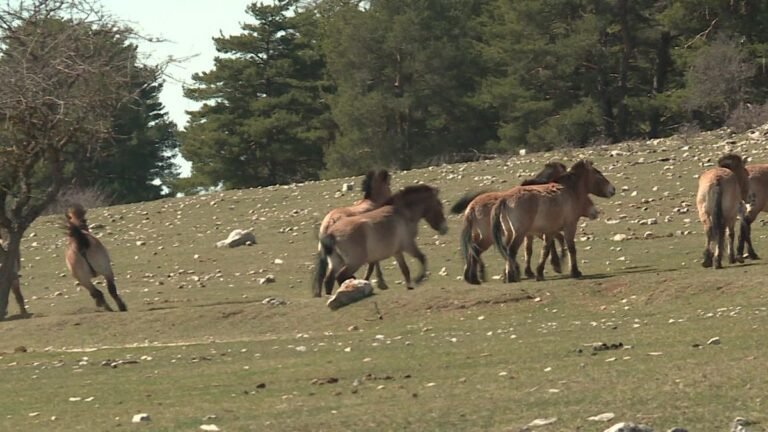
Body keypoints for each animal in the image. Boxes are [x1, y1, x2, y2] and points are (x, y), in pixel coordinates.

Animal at [313, 184, 448, 296]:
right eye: (439, 205)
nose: (444, 229)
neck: (402, 213)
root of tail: (330, 233)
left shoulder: (397, 251)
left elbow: (405, 269)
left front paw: (409, 286)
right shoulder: (408, 245)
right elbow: (422, 258)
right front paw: (418, 280)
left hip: (336, 262)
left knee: (328, 280)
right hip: (354, 262)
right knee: (340, 277)